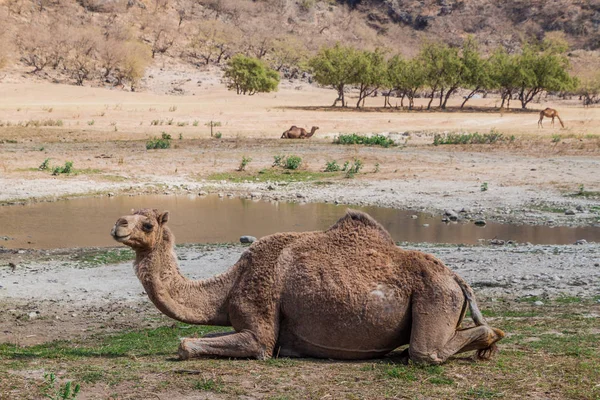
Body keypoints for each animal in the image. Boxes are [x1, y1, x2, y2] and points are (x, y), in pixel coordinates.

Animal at [111, 208, 502, 364]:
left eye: (147, 224)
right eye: (129, 215)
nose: (117, 225)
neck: (229, 285)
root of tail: (456, 278)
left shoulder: (260, 325)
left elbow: (186, 344)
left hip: (435, 295)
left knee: (426, 352)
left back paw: (490, 342)